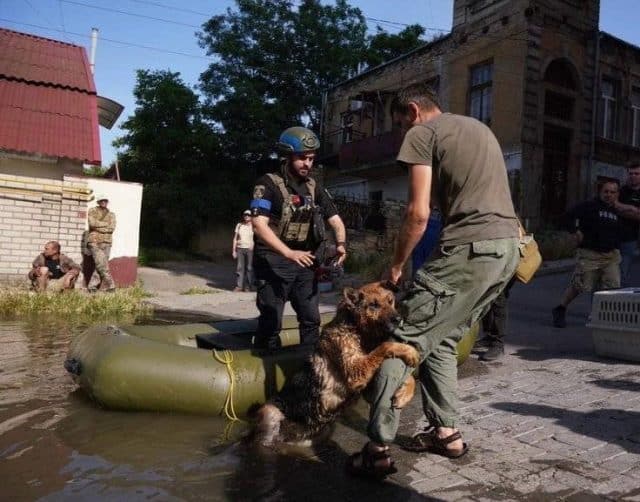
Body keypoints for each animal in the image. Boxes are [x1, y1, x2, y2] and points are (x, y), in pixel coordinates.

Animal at [255, 280, 420, 446]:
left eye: (390, 301)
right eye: (373, 305)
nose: (398, 319)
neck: (357, 328)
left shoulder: (368, 386)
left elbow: (409, 377)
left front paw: (404, 394)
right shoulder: (356, 372)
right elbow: (385, 346)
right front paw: (410, 350)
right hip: (269, 412)